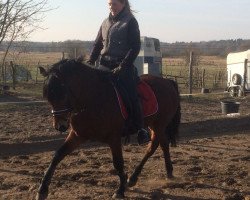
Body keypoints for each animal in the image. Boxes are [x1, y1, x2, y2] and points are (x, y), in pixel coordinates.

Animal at [36, 58, 181, 199]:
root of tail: (167, 81)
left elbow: (118, 163)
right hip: (154, 124)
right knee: (162, 144)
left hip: (159, 124)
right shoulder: (78, 135)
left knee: (154, 146)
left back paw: (136, 177)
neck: (93, 98)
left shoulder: (114, 138)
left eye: (63, 93)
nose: (60, 126)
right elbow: (57, 155)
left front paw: (120, 190)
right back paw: (164, 172)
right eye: (48, 96)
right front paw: (42, 190)